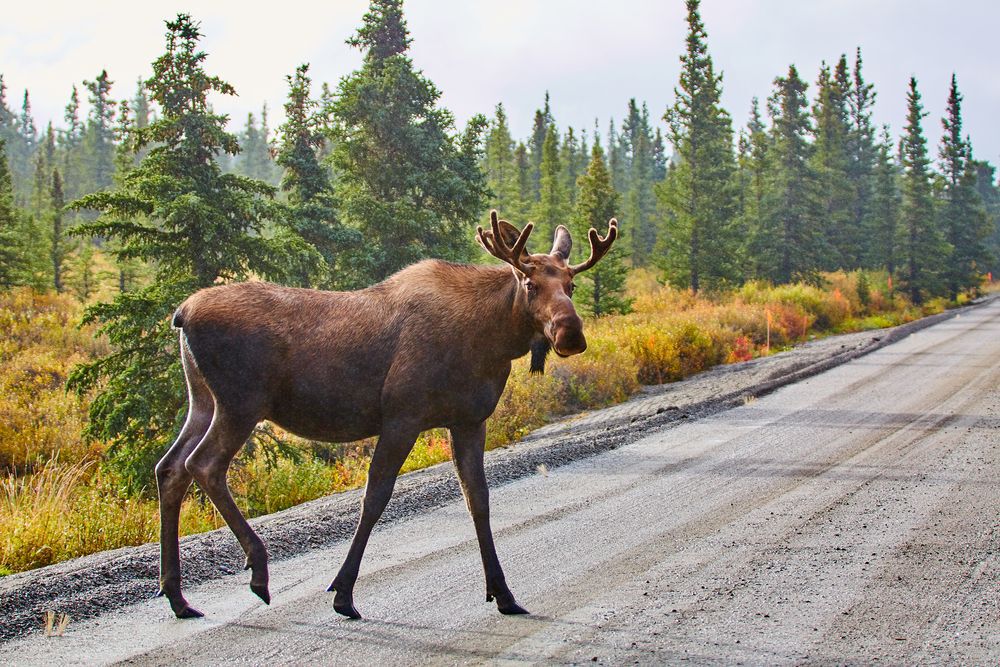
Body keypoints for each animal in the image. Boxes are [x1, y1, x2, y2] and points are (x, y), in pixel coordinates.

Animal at [155, 211, 618, 620]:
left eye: (572, 284)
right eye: (529, 282)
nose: (570, 333)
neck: (491, 340)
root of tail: (181, 314)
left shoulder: (468, 420)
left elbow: (478, 500)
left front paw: (503, 593)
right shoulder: (402, 416)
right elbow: (375, 497)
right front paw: (343, 594)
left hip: (203, 401)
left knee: (170, 467)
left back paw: (178, 598)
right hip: (241, 403)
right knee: (203, 465)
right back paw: (257, 570)